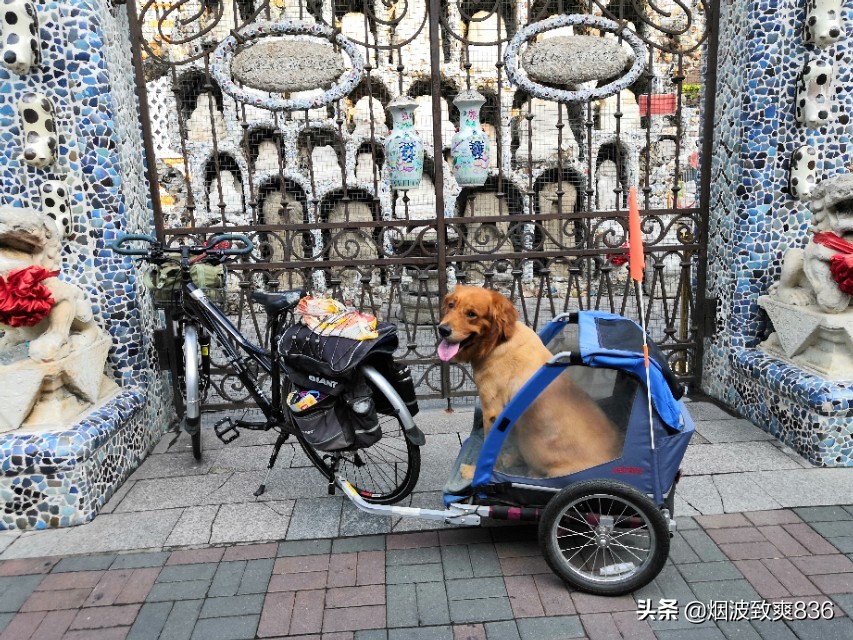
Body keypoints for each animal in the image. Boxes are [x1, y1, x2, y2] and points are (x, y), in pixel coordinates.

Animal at [436, 288, 624, 478]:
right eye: (451, 305)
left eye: (471, 314)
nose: (442, 329)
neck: (497, 342)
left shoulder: (492, 411)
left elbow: (489, 447)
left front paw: (476, 473)